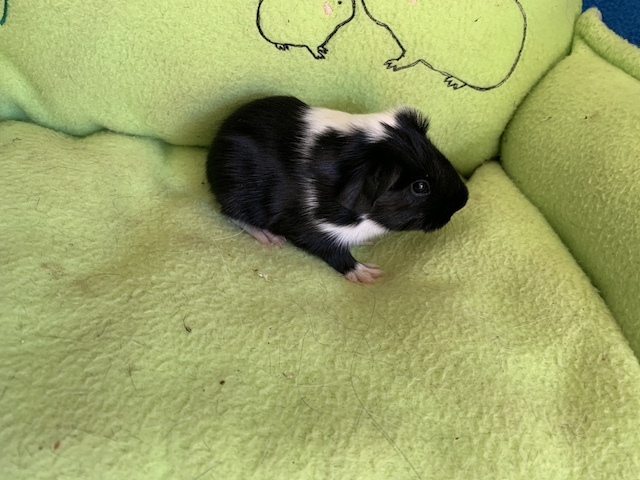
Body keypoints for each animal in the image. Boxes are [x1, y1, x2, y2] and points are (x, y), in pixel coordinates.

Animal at [206, 96, 468, 284]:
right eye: (420, 186)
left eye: (438, 155)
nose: (463, 200)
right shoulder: (311, 230)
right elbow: (334, 252)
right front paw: (370, 275)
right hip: (239, 196)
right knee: (232, 215)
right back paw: (270, 238)